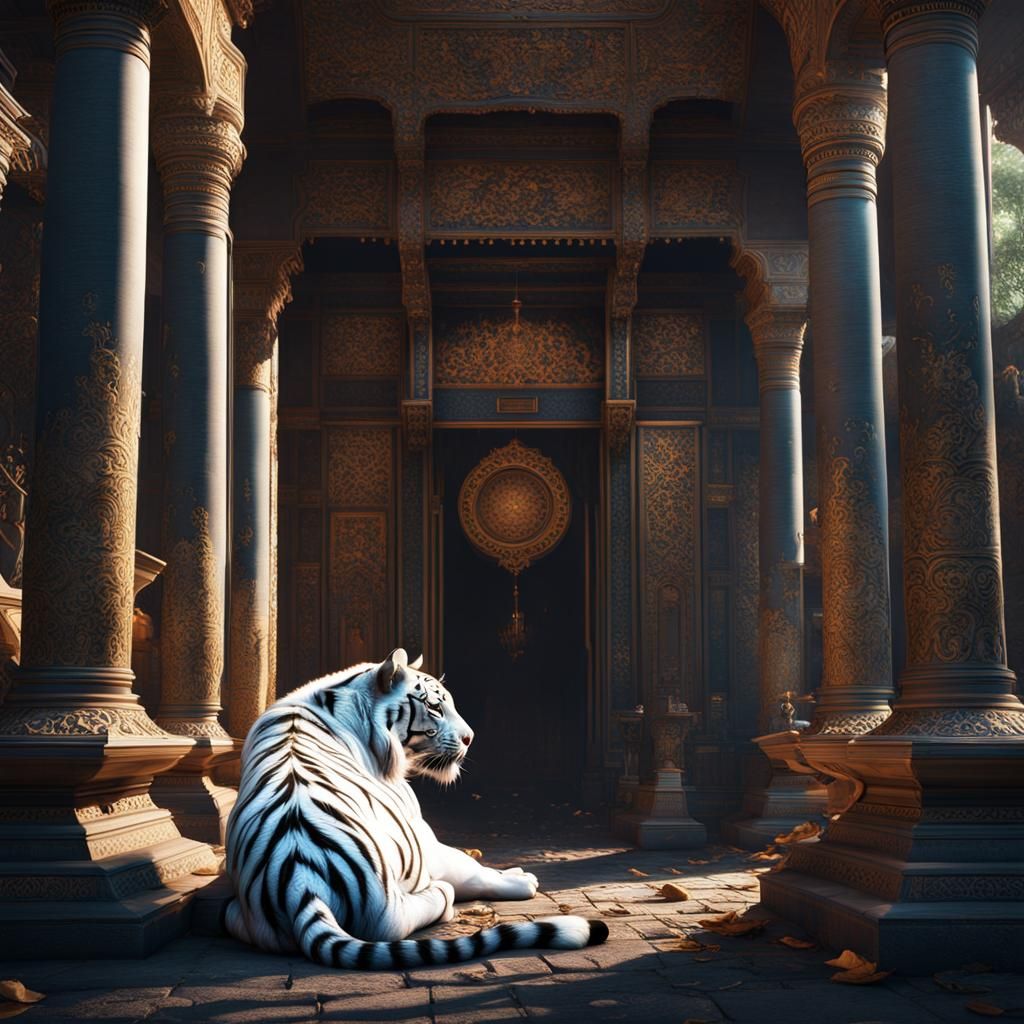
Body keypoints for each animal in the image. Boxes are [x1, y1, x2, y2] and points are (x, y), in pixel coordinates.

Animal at [223, 647, 608, 969]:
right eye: (436, 707)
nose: (470, 738)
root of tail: (303, 885)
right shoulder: (420, 831)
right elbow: (470, 866)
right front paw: (520, 879)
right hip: (391, 904)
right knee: (424, 905)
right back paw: (444, 893)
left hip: (240, 918)